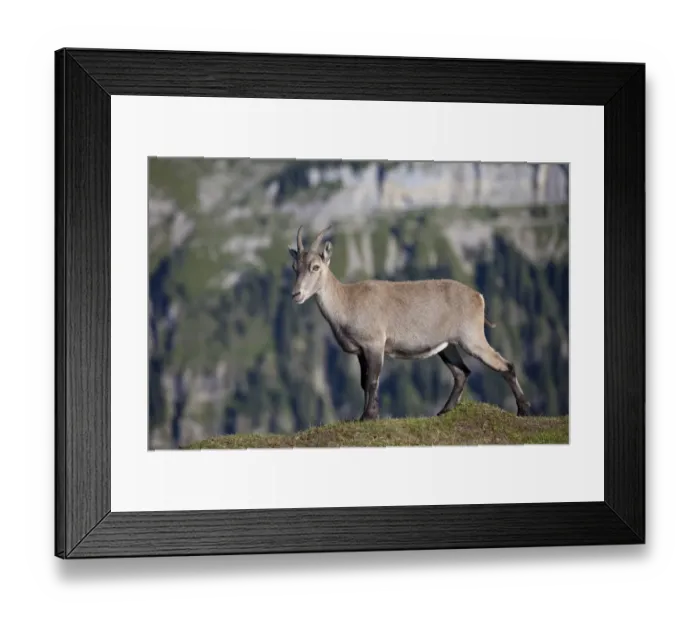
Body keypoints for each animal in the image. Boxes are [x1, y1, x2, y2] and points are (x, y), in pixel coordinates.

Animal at [288, 225, 533, 421]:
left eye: (315, 267)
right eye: (294, 267)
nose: (296, 294)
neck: (347, 301)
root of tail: (478, 297)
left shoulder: (374, 344)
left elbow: (372, 381)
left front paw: (368, 417)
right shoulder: (361, 351)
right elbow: (363, 382)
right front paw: (369, 415)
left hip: (472, 338)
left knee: (505, 365)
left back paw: (523, 409)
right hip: (448, 346)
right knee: (461, 373)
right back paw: (444, 411)